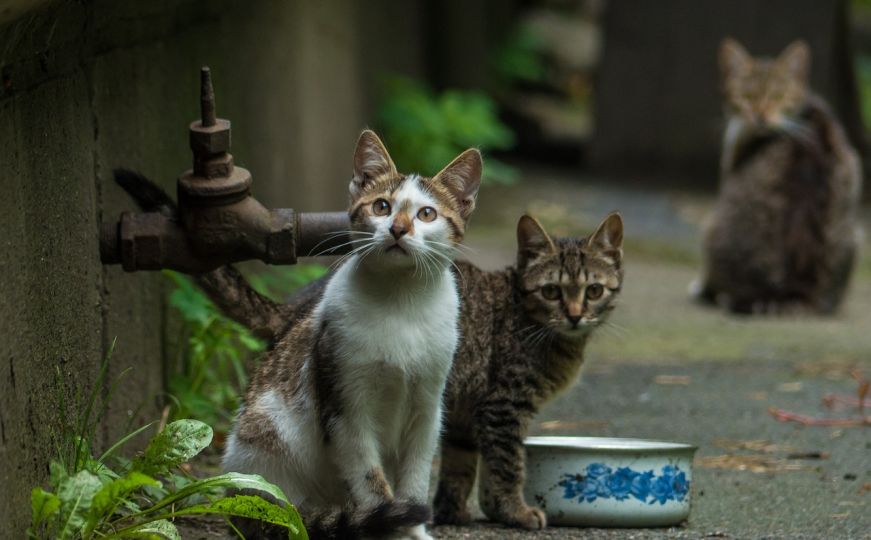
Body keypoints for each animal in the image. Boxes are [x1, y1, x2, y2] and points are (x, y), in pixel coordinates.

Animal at [436, 213, 628, 528]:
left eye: (594, 290)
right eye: (550, 291)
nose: (574, 316)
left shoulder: (462, 414)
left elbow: (458, 467)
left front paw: (451, 512)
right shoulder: (504, 406)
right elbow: (508, 467)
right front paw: (516, 511)